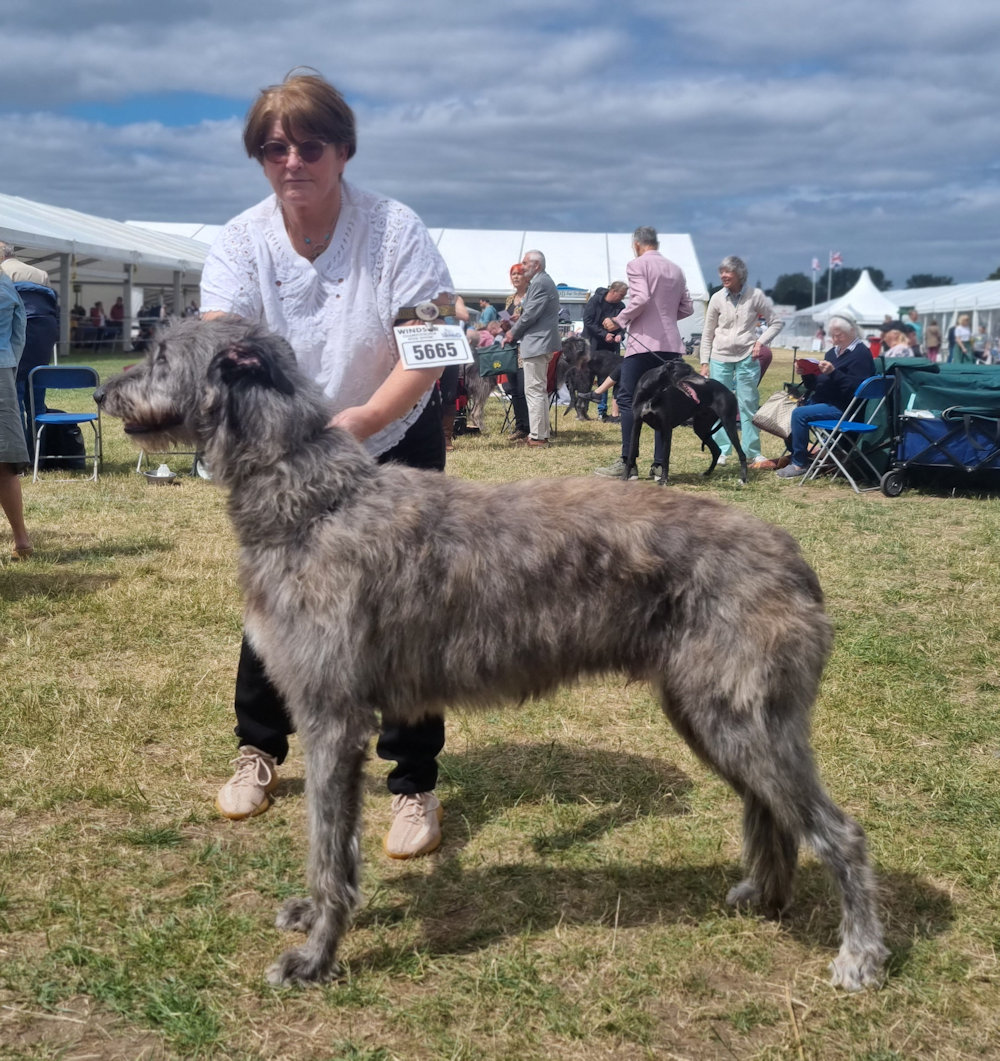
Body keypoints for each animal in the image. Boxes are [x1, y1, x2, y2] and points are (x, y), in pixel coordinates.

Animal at [95, 318, 890, 988]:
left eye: (161, 356)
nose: (101, 391)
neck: (314, 498)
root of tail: (792, 555)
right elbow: (330, 844)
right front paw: (311, 921)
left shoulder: (331, 719)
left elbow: (329, 847)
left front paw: (316, 955)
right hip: (709, 713)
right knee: (771, 810)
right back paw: (765, 894)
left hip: (741, 715)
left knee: (839, 832)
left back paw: (860, 955)